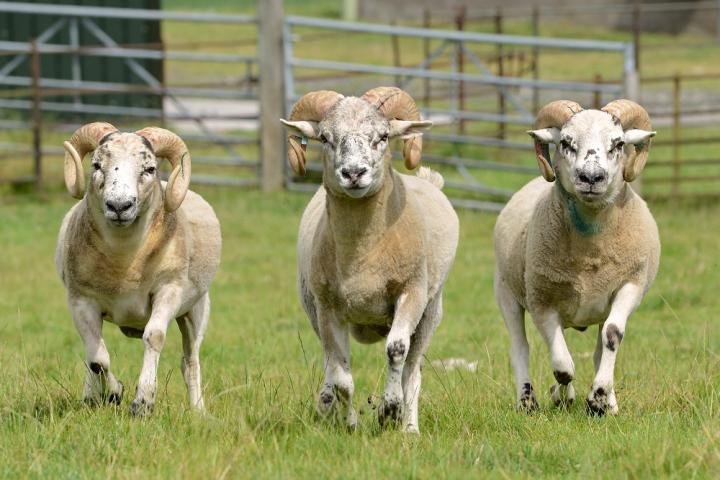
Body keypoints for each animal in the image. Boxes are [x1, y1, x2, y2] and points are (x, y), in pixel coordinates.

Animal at [56, 123, 221, 416]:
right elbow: (97, 358)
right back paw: (90, 398)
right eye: (96, 164)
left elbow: (153, 337)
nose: (119, 206)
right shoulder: (81, 301)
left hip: (195, 310)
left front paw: (142, 403)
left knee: (189, 361)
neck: (125, 264)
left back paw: (199, 412)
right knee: (92, 355)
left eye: (150, 168)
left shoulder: (168, 291)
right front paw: (114, 392)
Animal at [280, 87, 459, 433]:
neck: (363, 257)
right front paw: (350, 423)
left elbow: (396, 351)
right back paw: (326, 406)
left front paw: (390, 409)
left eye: (383, 136)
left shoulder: (411, 293)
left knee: (413, 371)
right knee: (329, 363)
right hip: (313, 309)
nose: (353, 173)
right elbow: (342, 378)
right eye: (325, 137)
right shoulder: (328, 308)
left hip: (432, 310)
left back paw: (409, 426)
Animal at [494, 99, 660, 415]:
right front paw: (563, 395)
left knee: (598, 348)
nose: (591, 178)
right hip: (506, 291)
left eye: (618, 143)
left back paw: (606, 402)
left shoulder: (629, 285)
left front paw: (599, 399)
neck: (590, 251)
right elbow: (562, 365)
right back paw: (529, 401)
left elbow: (612, 337)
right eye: (566, 142)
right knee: (520, 347)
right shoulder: (541, 300)